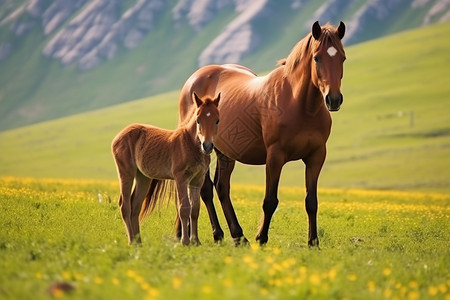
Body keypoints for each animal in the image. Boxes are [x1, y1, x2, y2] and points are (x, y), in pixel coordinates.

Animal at [110, 94, 220, 246]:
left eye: (217, 120)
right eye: (198, 120)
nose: (207, 146)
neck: (190, 144)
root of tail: (118, 136)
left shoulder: (197, 180)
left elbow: (195, 209)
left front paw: (196, 241)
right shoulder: (181, 178)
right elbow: (184, 208)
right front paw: (185, 241)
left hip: (143, 177)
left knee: (135, 205)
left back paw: (139, 243)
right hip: (126, 172)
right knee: (125, 205)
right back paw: (132, 241)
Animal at [178, 20, 346, 246]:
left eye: (342, 57)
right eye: (317, 57)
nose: (334, 99)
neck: (300, 105)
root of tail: (195, 78)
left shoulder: (316, 156)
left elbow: (311, 201)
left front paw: (313, 242)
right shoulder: (275, 156)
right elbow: (270, 201)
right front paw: (261, 238)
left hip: (225, 153)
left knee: (222, 188)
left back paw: (238, 236)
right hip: (204, 148)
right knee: (205, 190)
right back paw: (218, 234)